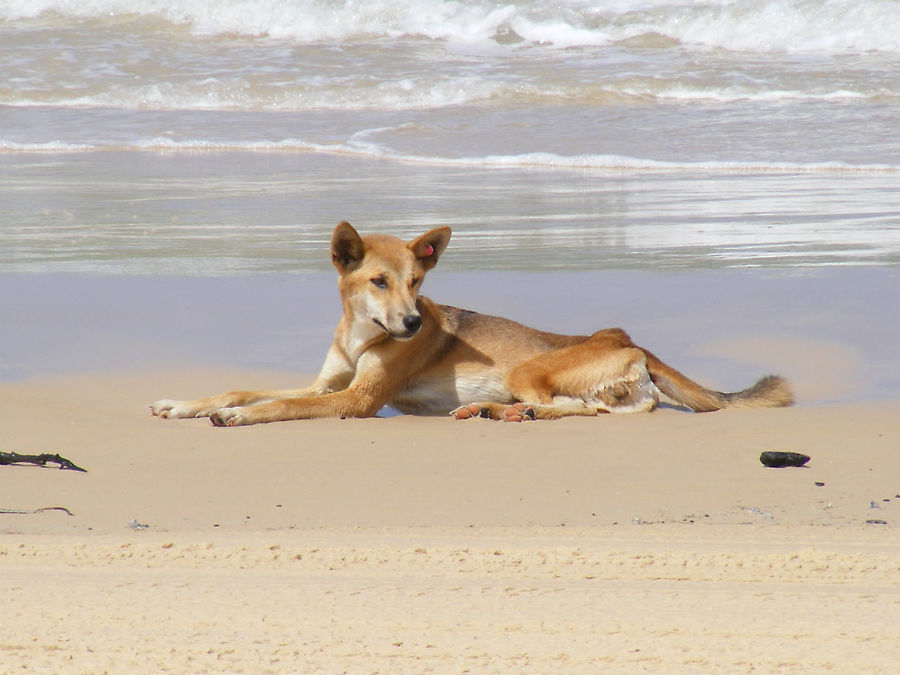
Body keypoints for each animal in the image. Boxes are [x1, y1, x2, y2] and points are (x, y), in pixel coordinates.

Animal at [151, 222, 792, 426]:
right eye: (379, 281)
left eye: (417, 281)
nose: (413, 324)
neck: (363, 334)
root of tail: (625, 338)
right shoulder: (328, 383)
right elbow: (244, 386)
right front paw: (183, 404)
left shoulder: (357, 399)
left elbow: (276, 404)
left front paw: (237, 416)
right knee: (607, 409)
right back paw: (490, 411)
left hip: (530, 369)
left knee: (574, 408)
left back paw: (507, 411)